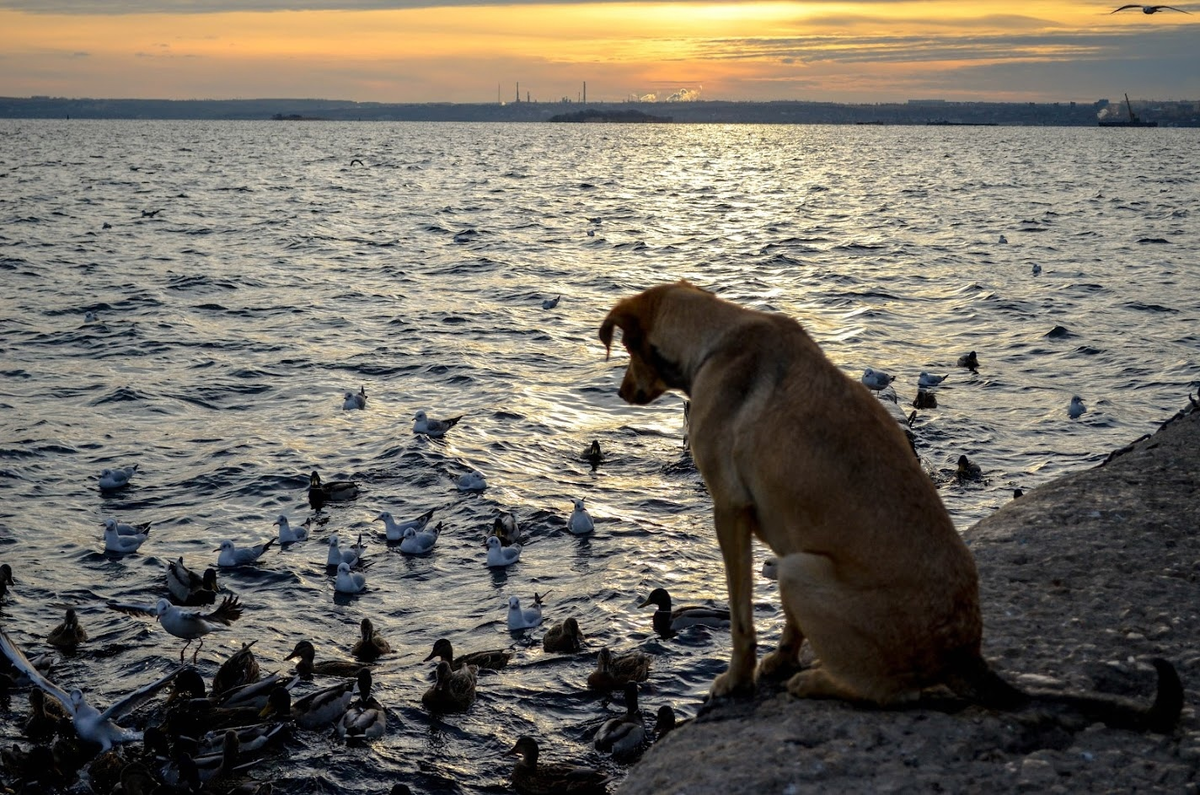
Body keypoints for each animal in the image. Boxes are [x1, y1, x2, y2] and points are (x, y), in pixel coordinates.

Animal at [600, 283, 1180, 730]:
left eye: (626, 350)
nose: (623, 392)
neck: (716, 341)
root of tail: (963, 651)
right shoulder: (788, 524)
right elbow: (789, 624)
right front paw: (780, 661)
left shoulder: (729, 509)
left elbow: (742, 619)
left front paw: (737, 679)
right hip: (798, 564)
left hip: (800, 571)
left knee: (896, 695)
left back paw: (818, 682)